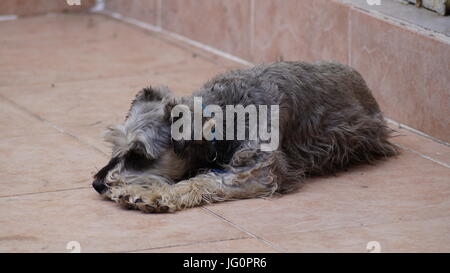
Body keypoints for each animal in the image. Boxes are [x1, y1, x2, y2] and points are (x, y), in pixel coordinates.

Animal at [90, 61, 398, 212]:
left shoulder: (258, 172)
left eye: (140, 154)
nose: (97, 183)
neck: (225, 117)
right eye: (115, 146)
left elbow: (205, 181)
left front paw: (150, 196)